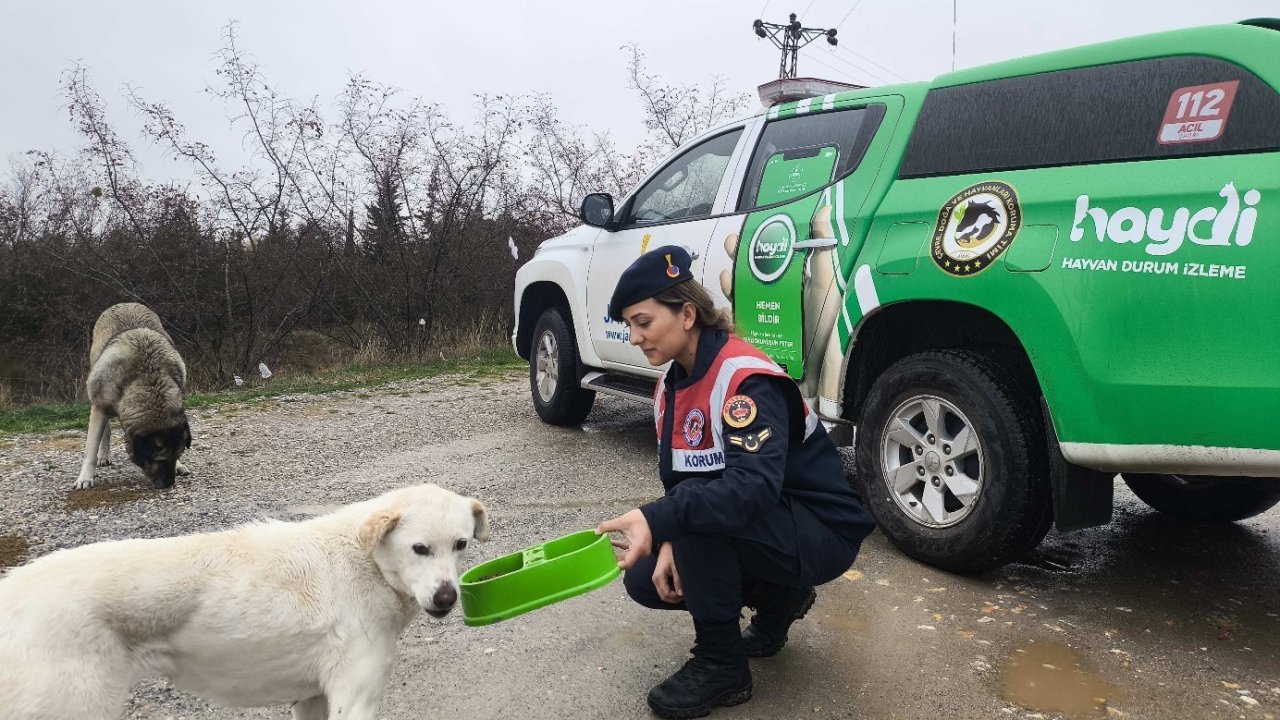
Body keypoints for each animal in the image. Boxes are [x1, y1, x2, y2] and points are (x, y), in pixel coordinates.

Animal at [0, 481, 488, 717]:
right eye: (419, 549)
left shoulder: (312, 698)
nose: (447, 597)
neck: (363, 560)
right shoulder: (355, 699)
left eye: (461, 545)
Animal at [73, 299, 190, 489]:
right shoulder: (100, 408)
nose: (169, 484)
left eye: (177, 455)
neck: (148, 380)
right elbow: (90, 450)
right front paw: (85, 478)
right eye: (159, 460)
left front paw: (180, 466)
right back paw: (103, 456)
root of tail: (125, 303)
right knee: (106, 431)